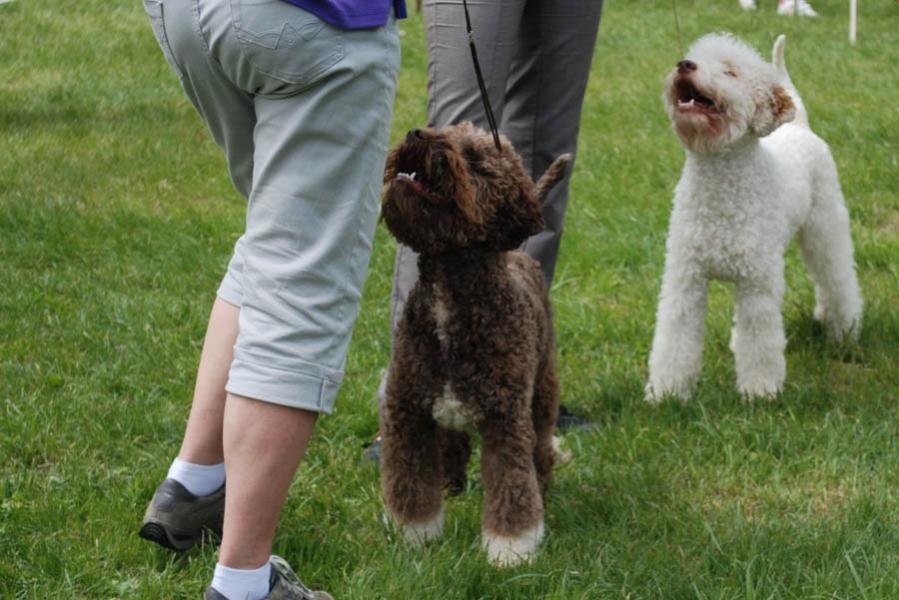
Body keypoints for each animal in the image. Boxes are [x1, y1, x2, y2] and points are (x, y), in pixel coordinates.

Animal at [380, 122, 568, 568]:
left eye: (476, 159)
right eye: (445, 130)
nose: (415, 134)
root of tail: (520, 254)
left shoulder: (505, 421)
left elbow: (511, 486)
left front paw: (511, 551)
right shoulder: (408, 412)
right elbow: (410, 484)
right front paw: (414, 535)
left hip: (541, 394)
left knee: (539, 447)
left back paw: (544, 484)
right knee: (452, 446)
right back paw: (451, 487)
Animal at [648, 32, 864, 400]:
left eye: (730, 71)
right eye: (694, 56)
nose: (684, 65)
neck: (720, 186)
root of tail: (800, 126)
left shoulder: (756, 282)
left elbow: (760, 340)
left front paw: (760, 392)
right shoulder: (685, 277)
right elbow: (674, 339)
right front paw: (667, 393)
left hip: (825, 228)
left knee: (836, 278)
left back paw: (844, 330)